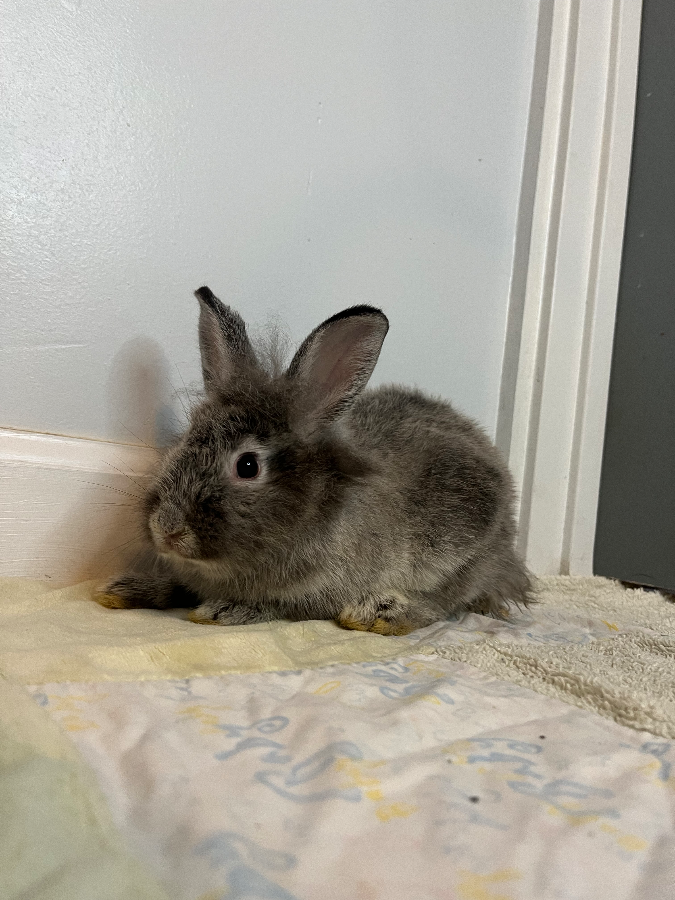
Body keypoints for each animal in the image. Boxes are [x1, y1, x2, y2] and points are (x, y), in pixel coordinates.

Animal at [96, 286, 531, 634]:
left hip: (463, 547)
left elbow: (279, 606)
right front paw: (122, 590)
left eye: (248, 466)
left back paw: (380, 613)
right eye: (183, 443)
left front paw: (225, 610)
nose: (167, 528)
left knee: (445, 603)